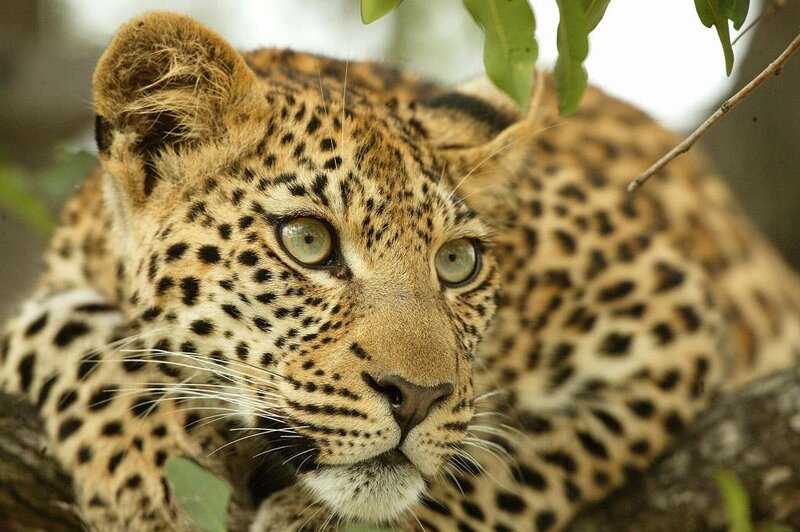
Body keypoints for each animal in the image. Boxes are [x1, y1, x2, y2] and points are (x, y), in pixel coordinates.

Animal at [2, 11, 800, 532]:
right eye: (308, 241)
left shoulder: (669, 314)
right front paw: (142, 473)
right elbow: (61, 333)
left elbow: (511, 468)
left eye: (457, 261)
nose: (416, 397)